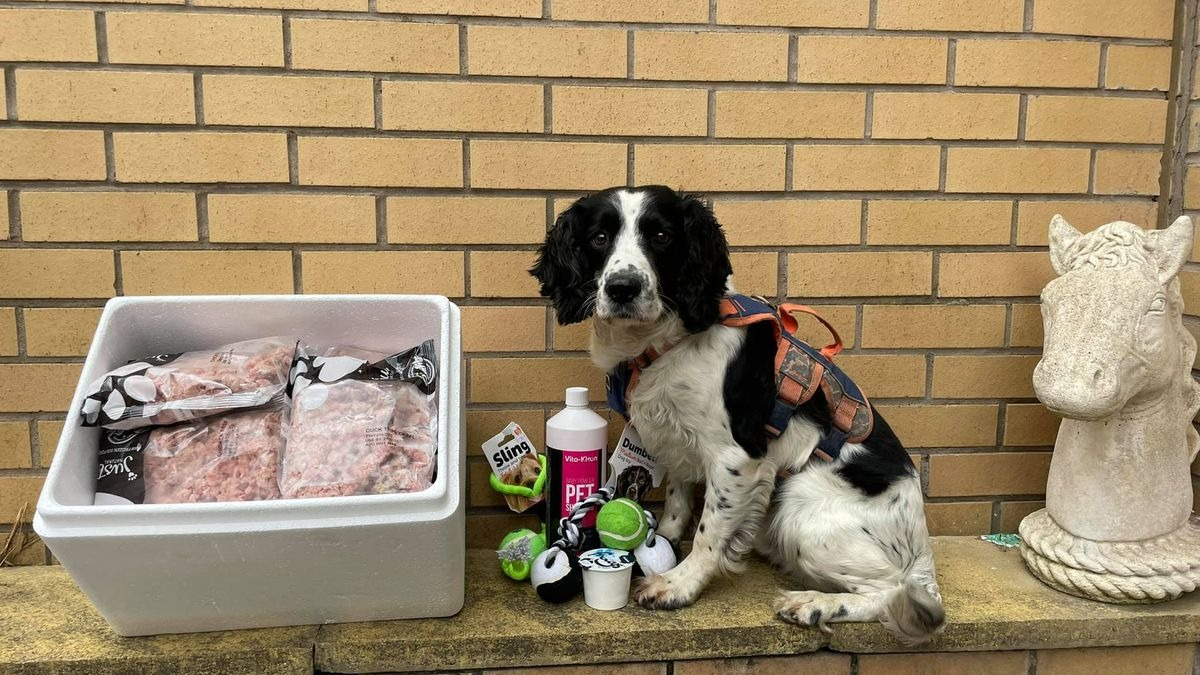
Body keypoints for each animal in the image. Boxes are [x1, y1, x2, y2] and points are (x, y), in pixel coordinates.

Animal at [530, 183, 940, 638]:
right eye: (599, 238)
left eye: (662, 237)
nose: (623, 287)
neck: (666, 342)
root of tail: (923, 555)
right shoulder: (677, 436)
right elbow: (677, 502)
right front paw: (664, 542)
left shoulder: (736, 456)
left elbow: (709, 530)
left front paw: (679, 583)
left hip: (799, 507)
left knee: (896, 593)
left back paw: (815, 604)